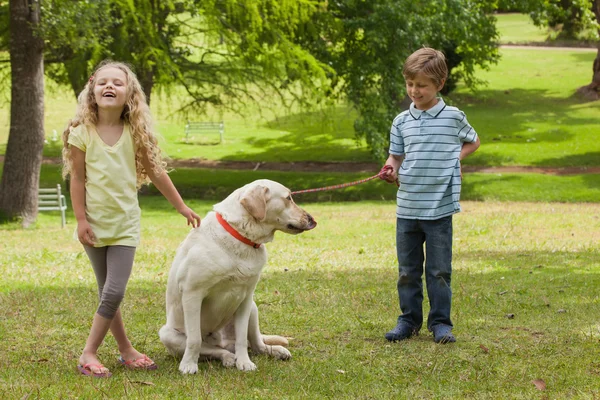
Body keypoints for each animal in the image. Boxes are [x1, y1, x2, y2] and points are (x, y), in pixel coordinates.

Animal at [159, 180, 318, 374]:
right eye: (288, 198)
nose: (312, 220)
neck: (240, 236)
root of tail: (224, 342)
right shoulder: (192, 294)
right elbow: (195, 339)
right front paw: (189, 365)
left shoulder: (245, 298)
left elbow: (242, 338)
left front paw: (244, 362)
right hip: (168, 334)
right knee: (213, 350)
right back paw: (227, 358)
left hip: (254, 309)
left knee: (256, 344)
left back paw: (275, 351)